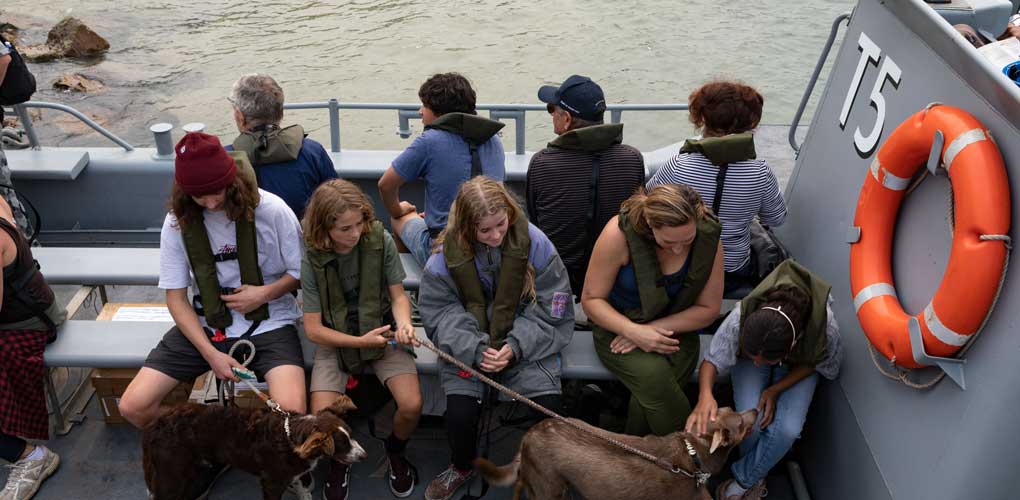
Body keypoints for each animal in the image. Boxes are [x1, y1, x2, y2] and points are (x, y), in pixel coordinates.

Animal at [141, 393, 367, 500]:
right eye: (342, 444)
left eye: (352, 435)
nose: (364, 456)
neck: (290, 437)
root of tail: (154, 425)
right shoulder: (272, 483)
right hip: (170, 475)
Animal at [473, 406, 754, 500]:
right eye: (740, 424)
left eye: (728, 408)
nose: (756, 410)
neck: (694, 453)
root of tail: (528, 435)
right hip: (548, 489)